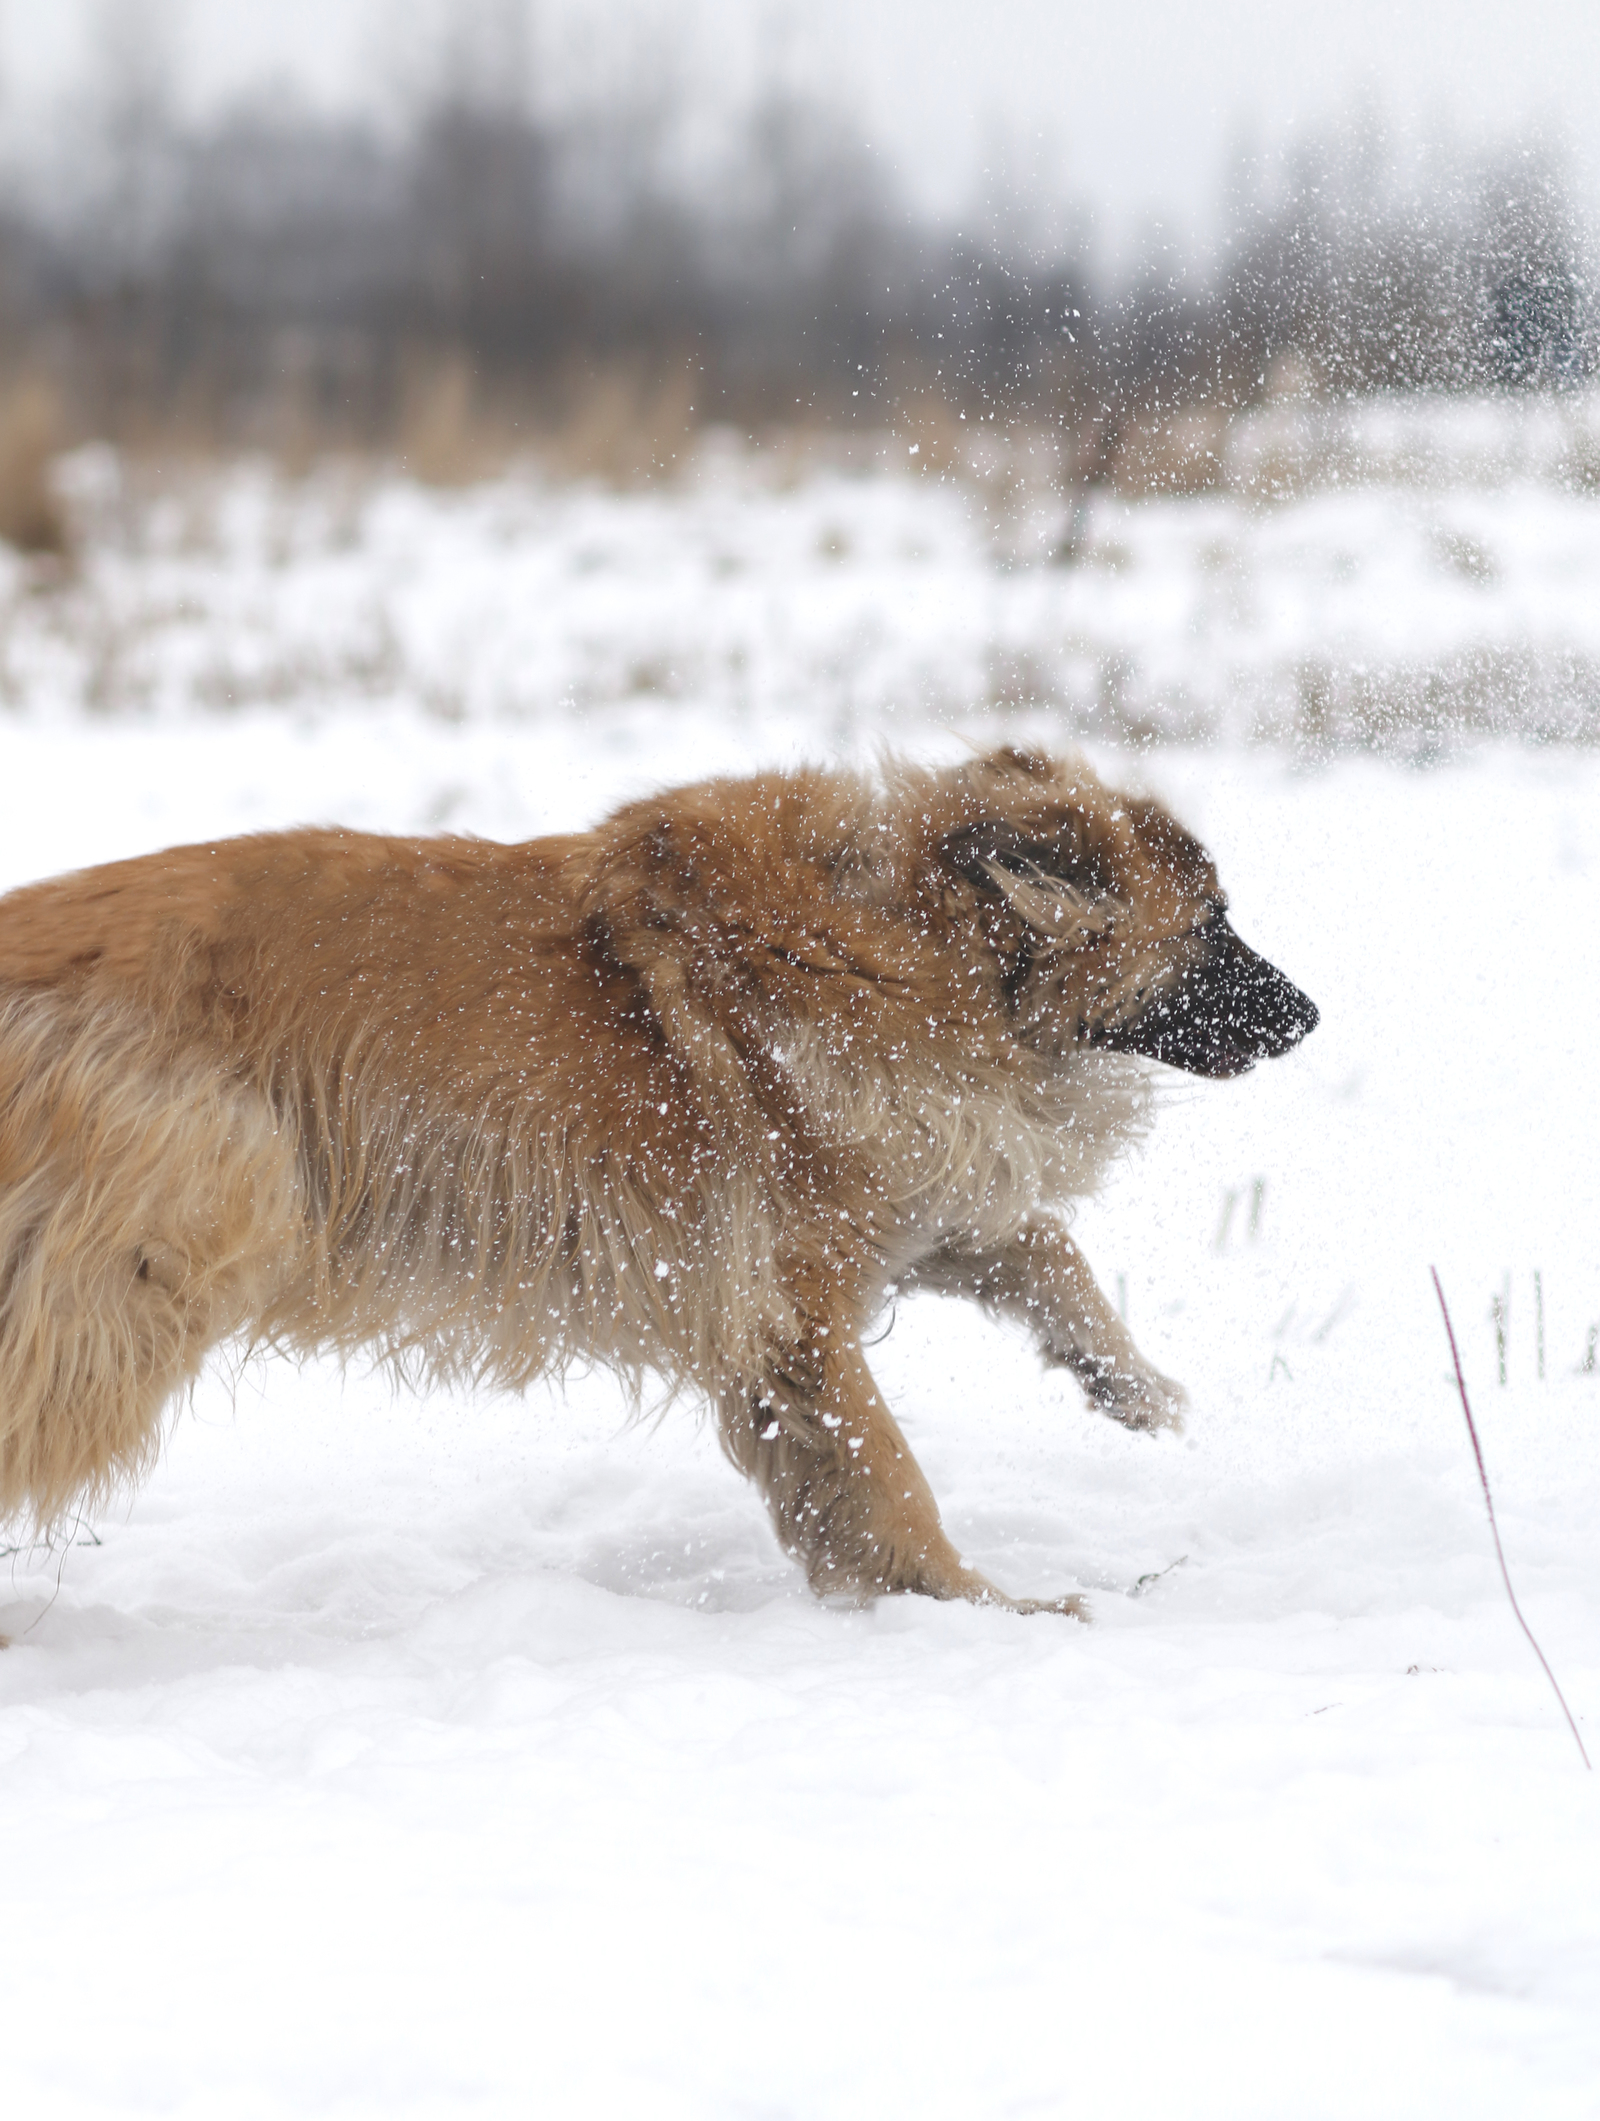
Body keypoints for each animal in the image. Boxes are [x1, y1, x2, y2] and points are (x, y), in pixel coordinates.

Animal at [0, 755, 1315, 1611]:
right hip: (167, 1245)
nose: (1309, 1015)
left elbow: (1034, 1248)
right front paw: (974, 1605)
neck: (911, 937)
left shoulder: (898, 1193)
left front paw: (1130, 1383)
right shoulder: (793, 1294)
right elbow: (883, 1467)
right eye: (1210, 925)